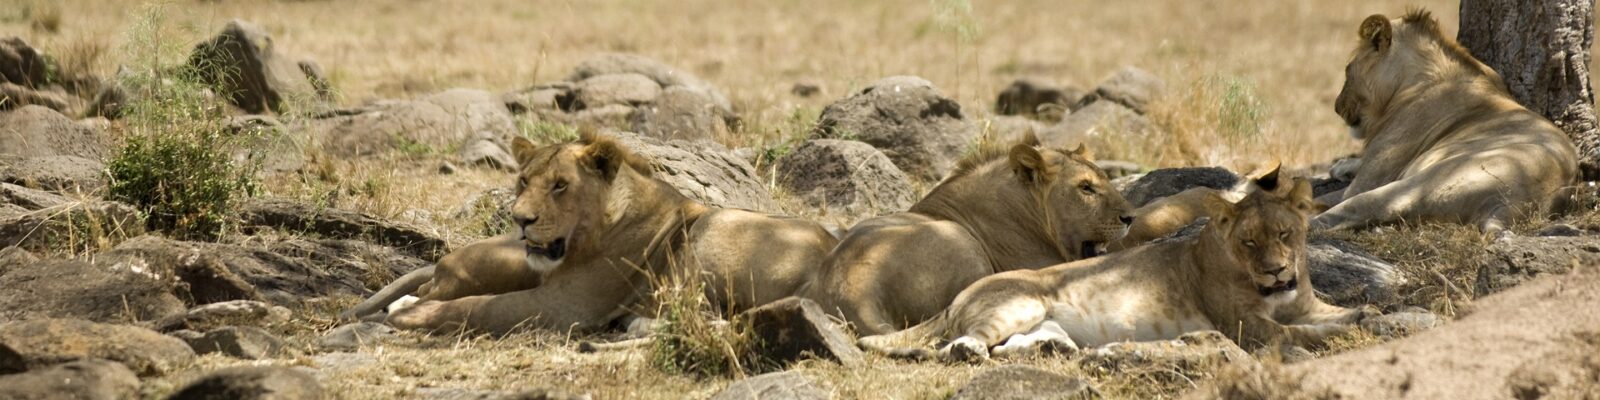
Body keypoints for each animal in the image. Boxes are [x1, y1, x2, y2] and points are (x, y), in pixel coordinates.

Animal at [380, 132, 838, 332]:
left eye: (560, 185)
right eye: (523, 181)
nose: (520, 220)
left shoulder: (566, 306)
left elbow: (480, 307)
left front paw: (412, 314)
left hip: (714, 230)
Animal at [857, 167, 1369, 361]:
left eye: (1285, 235)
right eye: (1248, 242)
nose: (1278, 270)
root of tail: (959, 296)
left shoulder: (1305, 304)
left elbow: (1336, 314)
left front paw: (1369, 315)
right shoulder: (1247, 327)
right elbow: (1299, 335)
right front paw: (1345, 330)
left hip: (1039, 318)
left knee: (1011, 345)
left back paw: (1055, 349)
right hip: (1019, 303)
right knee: (963, 343)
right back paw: (971, 351)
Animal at [1305, 8, 1580, 233]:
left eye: (1347, 70)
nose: (1337, 106)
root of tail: (1508, 208)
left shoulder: (1370, 178)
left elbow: (1330, 194)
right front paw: (1341, 165)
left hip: (1421, 182)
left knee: (1357, 208)